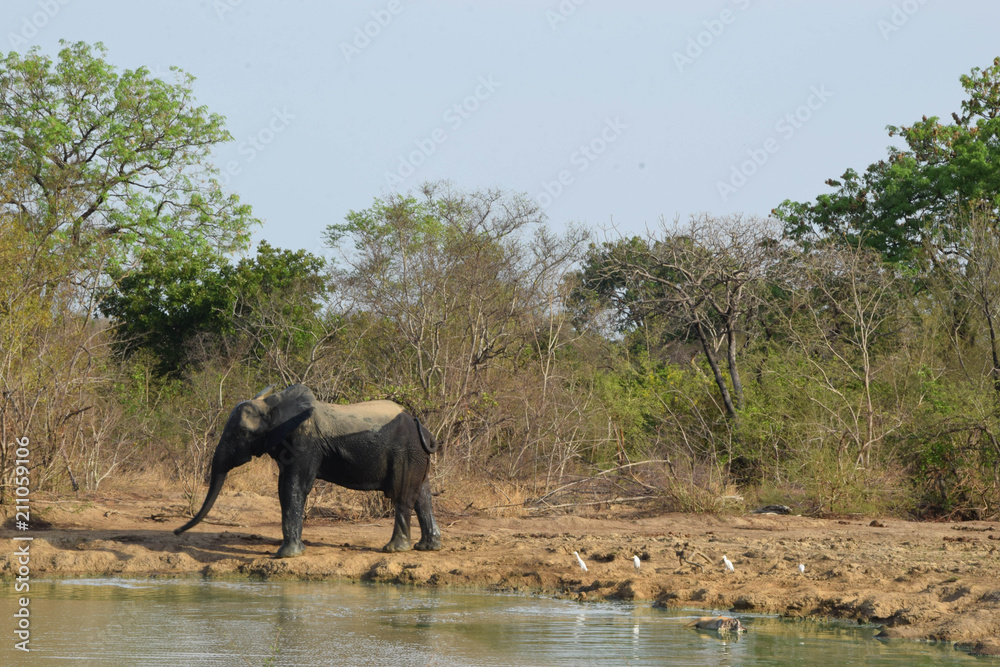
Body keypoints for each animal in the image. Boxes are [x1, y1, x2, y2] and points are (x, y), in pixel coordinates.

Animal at [174, 384, 443, 557]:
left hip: (405, 453)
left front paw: (286, 555)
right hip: (416, 455)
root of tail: (420, 427)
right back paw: (427, 547)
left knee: (402, 496)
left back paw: (394, 549)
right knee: (423, 495)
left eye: (242, 433)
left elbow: (294, 486)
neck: (273, 405)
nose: (176, 532)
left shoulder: (305, 441)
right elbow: (284, 487)